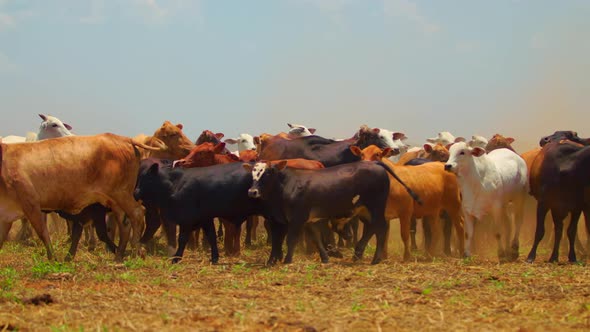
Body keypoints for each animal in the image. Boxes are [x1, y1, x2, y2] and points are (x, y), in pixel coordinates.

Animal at [0, 134, 165, 260]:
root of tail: (125, 139)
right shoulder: (5, 216)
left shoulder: (31, 204)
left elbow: (43, 233)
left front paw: (53, 259)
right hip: (115, 201)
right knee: (124, 224)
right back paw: (119, 255)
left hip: (121, 194)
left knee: (137, 214)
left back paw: (137, 251)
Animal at [245, 160, 420, 266]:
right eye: (253, 173)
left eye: (268, 172)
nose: (252, 191)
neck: (288, 185)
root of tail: (374, 163)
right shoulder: (309, 220)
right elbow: (316, 239)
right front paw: (325, 258)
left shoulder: (297, 219)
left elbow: (291, 240)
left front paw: (288, 261)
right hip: (364, 210)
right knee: (371, 228)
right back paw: (357, 254)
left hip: (375, 208)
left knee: (381, 228)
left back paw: (375, 259)